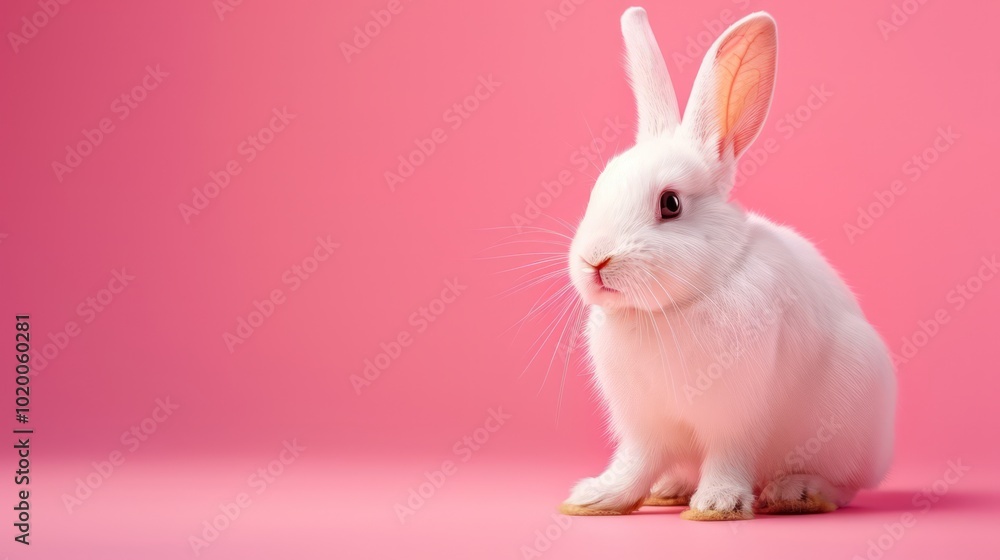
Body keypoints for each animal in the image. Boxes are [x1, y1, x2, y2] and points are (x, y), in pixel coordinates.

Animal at [558, 7, 896, 520]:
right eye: (599, 187)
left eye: (671, 204)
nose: (594, 261)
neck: (667, 311)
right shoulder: (644, 424)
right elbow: (636, 462)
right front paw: (595, 498)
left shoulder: (736, 416)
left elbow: (727, 456)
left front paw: (717, 504)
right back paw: (672, 488)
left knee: (844, 487)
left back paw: (795, 492)